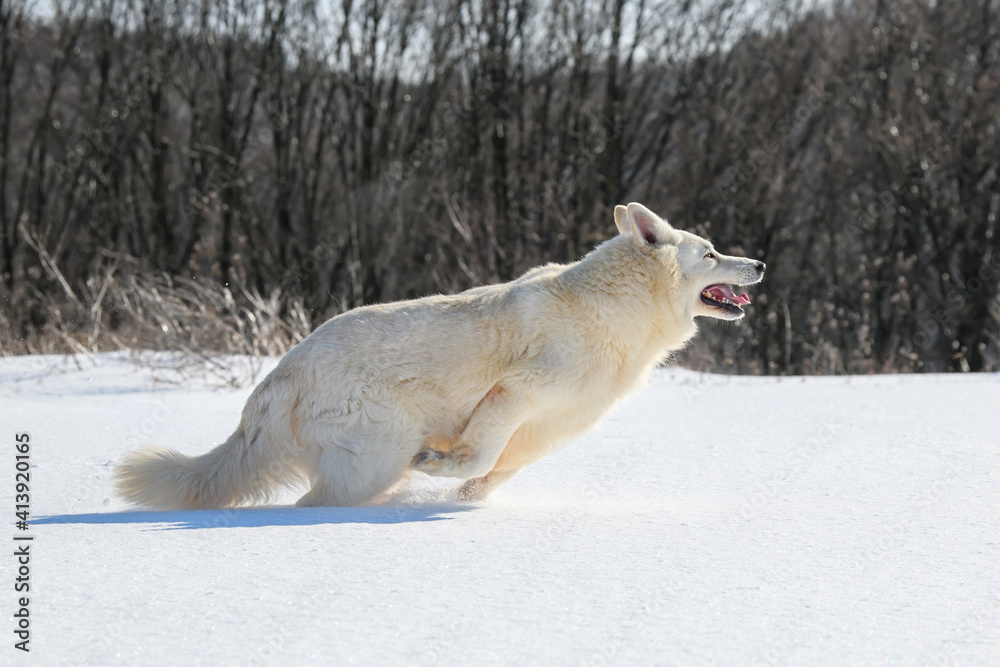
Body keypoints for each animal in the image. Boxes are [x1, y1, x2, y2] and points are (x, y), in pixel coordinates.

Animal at [115, 201, 764, 508]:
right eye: (710, 252)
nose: (758, 263)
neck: (613, 311)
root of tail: (282, 374)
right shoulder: (515, 393)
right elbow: (478, 457)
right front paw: (438, 470)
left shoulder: (548, 428)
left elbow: (492, 474)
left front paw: (459, 496)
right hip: (377, 455)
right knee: (309, 501)